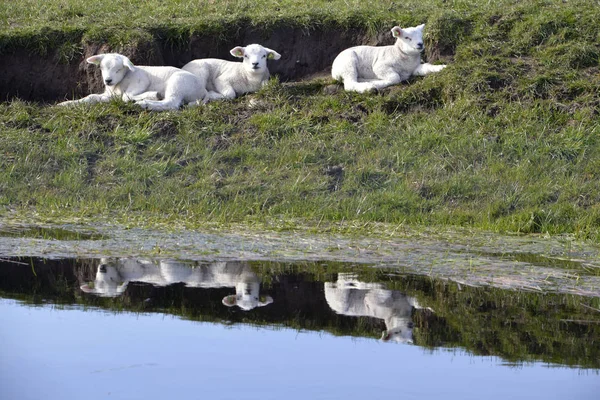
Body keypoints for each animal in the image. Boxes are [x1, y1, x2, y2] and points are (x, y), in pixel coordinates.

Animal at [58, 52, 209, 111]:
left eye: (118, 69)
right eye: (101, 68)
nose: (108, 80)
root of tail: (203, 91)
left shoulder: (141, 80)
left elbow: (126, 96)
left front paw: (151, 95)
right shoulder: (110, 95)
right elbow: (91, 97)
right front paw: (65, 104)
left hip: (178, 82)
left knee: (171, 103)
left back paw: (145, 103)